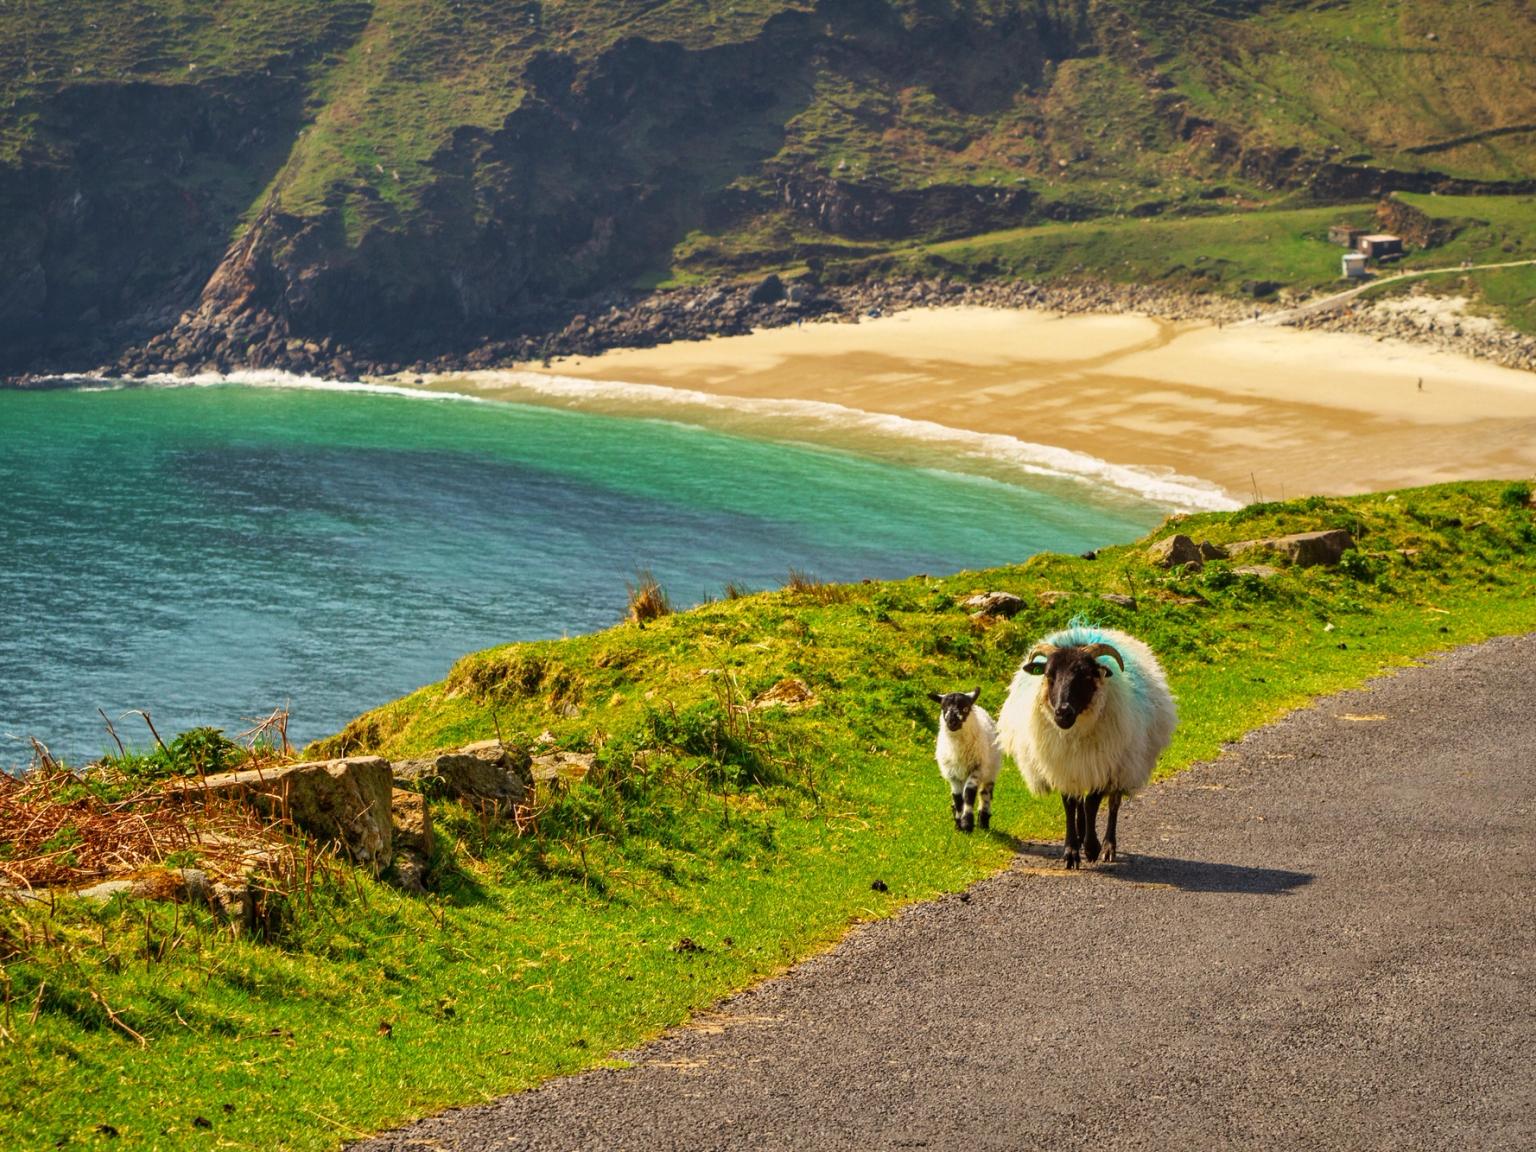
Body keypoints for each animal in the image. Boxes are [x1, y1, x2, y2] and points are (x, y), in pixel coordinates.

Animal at [928, 688, 1002, 833]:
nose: (952, 722)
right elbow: (957, 798)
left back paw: (983, 822)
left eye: (965, 708)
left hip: (990, 770)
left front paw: (967, 823)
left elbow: (969, 793)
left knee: (985, 794)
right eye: (943, 708)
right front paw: (958, 823)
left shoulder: (977, 768)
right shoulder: (953, 774)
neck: (959, 751)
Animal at [996, 622, 1176, 868]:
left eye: (1085, 675)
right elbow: (1070, 804)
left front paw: (1092, 848)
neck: (1074, 733)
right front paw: (1071, 850)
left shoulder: (1104, 765)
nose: (1062, 712)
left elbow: (1092, 803)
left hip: (1123, 763)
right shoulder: (1064, 767)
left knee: (1113, 804)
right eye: (1049, 675)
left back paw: (1108, 846)